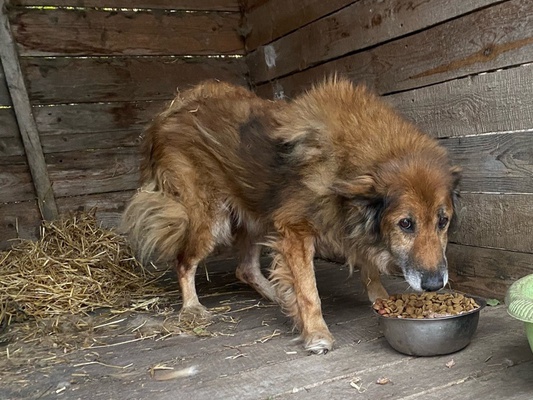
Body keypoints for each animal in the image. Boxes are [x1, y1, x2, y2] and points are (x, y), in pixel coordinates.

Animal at [121, 77, 460, 354]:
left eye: (442, 221)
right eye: (406, 224)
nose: (434, 285)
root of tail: (169, 112)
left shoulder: (349, 222)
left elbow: (367, 267)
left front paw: (379, 297)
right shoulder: (296, 230)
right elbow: (310, 291)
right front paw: (317, 333)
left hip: (258, 212)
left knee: (245, 268)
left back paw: (279, 296)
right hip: (210, 217)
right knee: (184, 262)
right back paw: (193, 307)